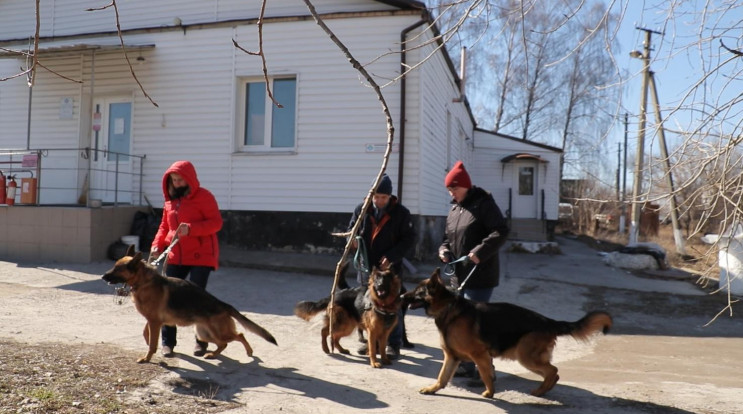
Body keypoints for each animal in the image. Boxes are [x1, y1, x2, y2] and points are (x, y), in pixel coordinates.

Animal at [103, 246, 278, 362]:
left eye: (118, 269)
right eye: (114, 266)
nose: (104, 277)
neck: (144, 282)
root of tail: (223, 305)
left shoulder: (155, 321)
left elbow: (152, 342)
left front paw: (147, 357)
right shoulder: (153, 321)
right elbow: (146, 333)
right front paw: (147, 341)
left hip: (217, 332)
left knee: (239, 335)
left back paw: (249, 352)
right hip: (204, 333)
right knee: (223, 344)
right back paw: (212, 354)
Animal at [404, 268, 612, 398]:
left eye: (417, 291)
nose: (401, 296)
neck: (447, 308)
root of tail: (547, 321)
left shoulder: (479, 355)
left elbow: (486, 374)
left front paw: (490, 393)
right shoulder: (452, 357)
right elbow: (442, 377)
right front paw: (432, 389)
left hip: (525, 357)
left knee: (553, 370)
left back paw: (539, 392)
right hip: (528, 358)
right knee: (553, 373)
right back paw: (543, 390)